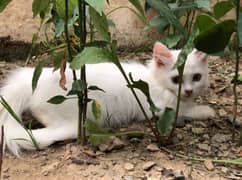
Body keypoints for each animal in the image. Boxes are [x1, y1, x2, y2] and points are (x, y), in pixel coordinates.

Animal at [0, 42, 216, 156]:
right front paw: (206, 110)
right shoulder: (159, 108)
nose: (188, 91)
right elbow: (188, 110)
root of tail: (32, 79)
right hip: (77, 118)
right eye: (176, 80)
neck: (152, 80)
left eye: (197, 77)